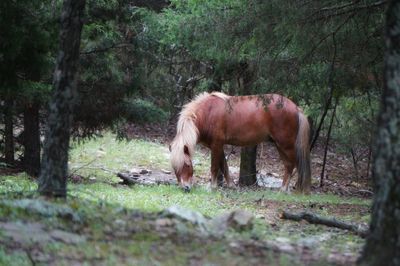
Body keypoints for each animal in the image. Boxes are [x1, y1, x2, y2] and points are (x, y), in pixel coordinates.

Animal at [170, 92, 310, 193]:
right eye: (175, 168)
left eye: (187, 164)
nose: (185, 188)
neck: (208, 113)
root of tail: (296, 108)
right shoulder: (217, 146)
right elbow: (224, 166)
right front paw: (231, 185)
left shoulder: (216, 145)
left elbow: (214, 166)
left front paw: (212, 187)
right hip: (279, 145)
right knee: (288, 165)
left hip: (285, 145)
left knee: (291, 164)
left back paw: (283, 189)